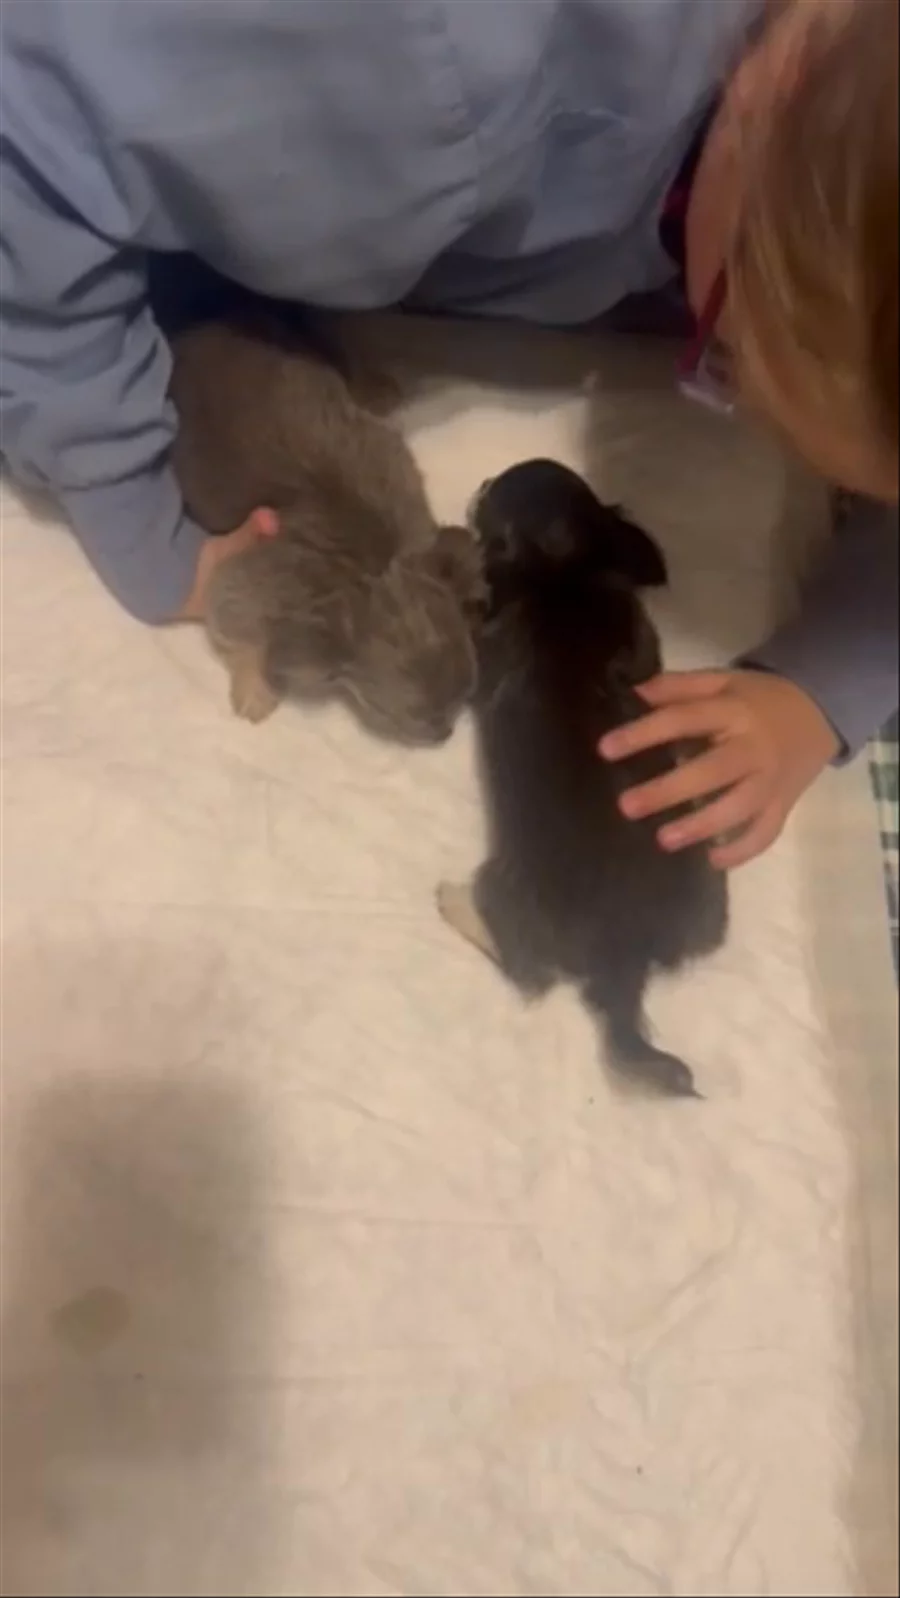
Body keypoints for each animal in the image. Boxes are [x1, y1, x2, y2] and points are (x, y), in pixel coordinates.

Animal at [168, 314, 483, 744]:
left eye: (465, 698)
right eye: (419, 720)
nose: (446, 734)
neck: (373, 569)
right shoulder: (244, 586)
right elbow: (241, 636)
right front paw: (255, 689)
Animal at [437, 458, 729, 1098]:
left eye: (492, 497)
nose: (481, 486)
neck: (562, 573)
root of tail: (622, 960)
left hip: (506, 891)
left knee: (521, 968)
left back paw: (453, 901)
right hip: (705, 897)